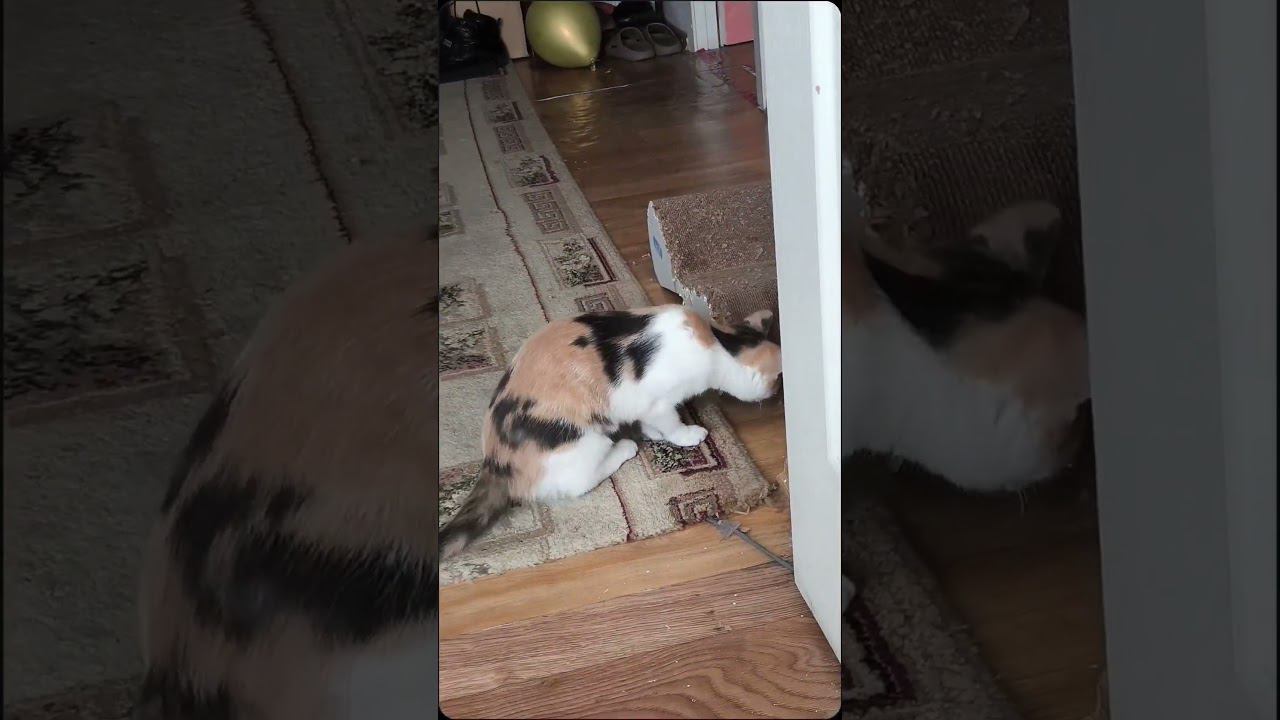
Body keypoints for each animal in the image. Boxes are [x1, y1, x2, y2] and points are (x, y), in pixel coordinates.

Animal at [439, 304, 783, 559]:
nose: (775, 394)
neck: (716, 341)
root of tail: (496, 461)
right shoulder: (658, 399)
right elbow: (670, 421)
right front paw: (685, 435)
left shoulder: (643, 404)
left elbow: (650, 421)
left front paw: (653, 433)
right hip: (585, 441)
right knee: (578, 483)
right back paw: (625, 448)